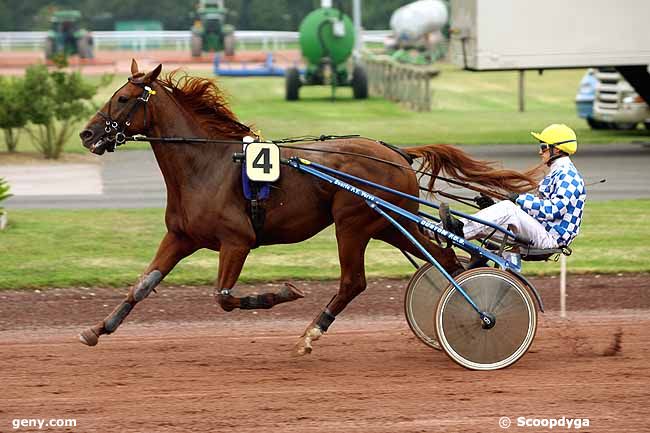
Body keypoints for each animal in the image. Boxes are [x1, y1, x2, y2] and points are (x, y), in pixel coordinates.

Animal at [78, 59, 536, 354]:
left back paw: (311, 333)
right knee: (446, 259)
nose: (87, 134)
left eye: (124, 98)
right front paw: (98, 329)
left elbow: (224, 297)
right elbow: (142, 285)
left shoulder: (237, 240)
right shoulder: (181, 236)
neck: (206, 164)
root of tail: (397, 153)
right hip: (385, 223)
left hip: (352, 223)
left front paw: (282, 292)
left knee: (354, 282)